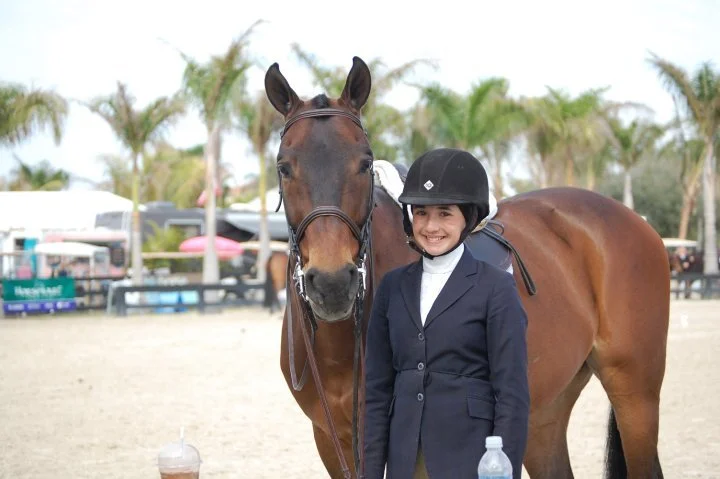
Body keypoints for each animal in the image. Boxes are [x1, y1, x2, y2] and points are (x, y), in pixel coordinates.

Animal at [265, 57, 669, 479]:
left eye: (365, 163)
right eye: (284, 167)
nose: (331, 284)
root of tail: (634, 220)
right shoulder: (332, 440)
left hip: (635, 392)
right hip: (545, 411)